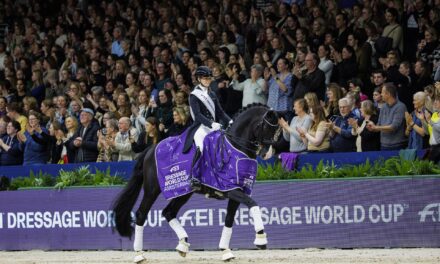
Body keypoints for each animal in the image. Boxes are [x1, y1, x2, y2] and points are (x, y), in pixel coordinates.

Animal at [111, 104, 280, 262]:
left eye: (277, 130)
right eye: (266, 127)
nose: (267, 154)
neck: (235, 146)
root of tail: (151, 149)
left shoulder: (239, 190)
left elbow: (229, 219)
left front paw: (226, 251)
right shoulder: (230, 189)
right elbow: (253, 204)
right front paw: (261, 239)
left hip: (183, 192)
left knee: (168, 212)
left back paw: (183, 245)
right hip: (152, 190)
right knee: (141, 214)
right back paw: (139, 255)